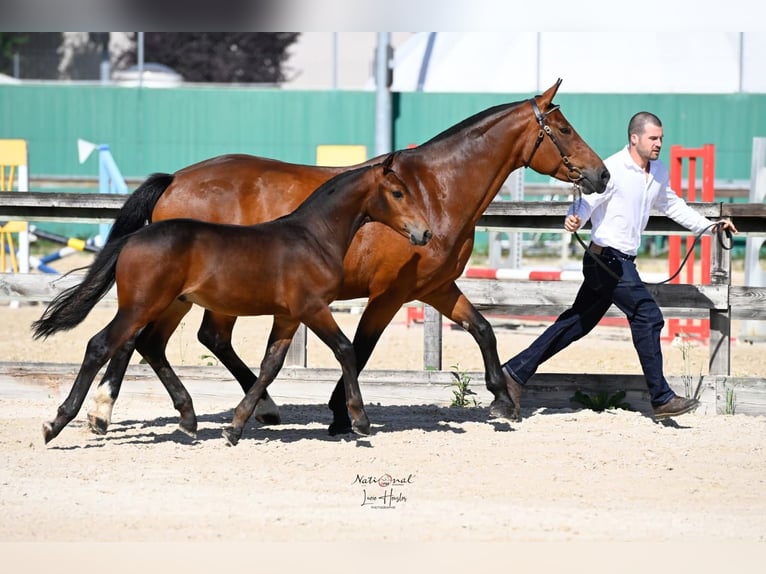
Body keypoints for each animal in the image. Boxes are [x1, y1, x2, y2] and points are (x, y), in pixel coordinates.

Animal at [32, 156, 432, 445]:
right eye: (398, 193)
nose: (424, 232)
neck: (313, 236)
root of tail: (133, 239)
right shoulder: (313, 308)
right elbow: (346, 350)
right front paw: (360, 421)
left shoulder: (288, 317)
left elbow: (270, 366)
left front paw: (236, 427)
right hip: (142, 305)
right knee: (102, 345)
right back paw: (57, 423)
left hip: (174, 304)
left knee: (150, 345)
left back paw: (188, 419)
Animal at [83, 78, 609, 436]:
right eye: (564, 128)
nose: (601, 175)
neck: (434, 190)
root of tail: (175, 179)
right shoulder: (391, 294)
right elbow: (360, 347)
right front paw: (343, 413)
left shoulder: (436, 288)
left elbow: (482, 329)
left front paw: (503, 398)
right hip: (185, 293)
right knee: (146, 339)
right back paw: (105, 412)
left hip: (195, 295)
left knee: (174, 339)